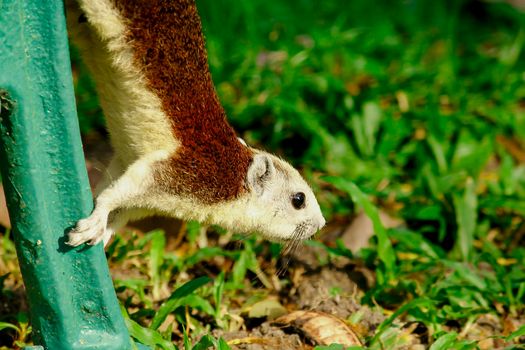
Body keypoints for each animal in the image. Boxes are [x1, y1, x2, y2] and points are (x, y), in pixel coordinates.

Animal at [64, 0, 324, 247]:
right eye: (298, 200)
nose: (321, 224)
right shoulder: (183, 173)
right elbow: (112, 196)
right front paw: (93, 223)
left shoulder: (136, 181)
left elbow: (115, 206)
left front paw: (103, 233)